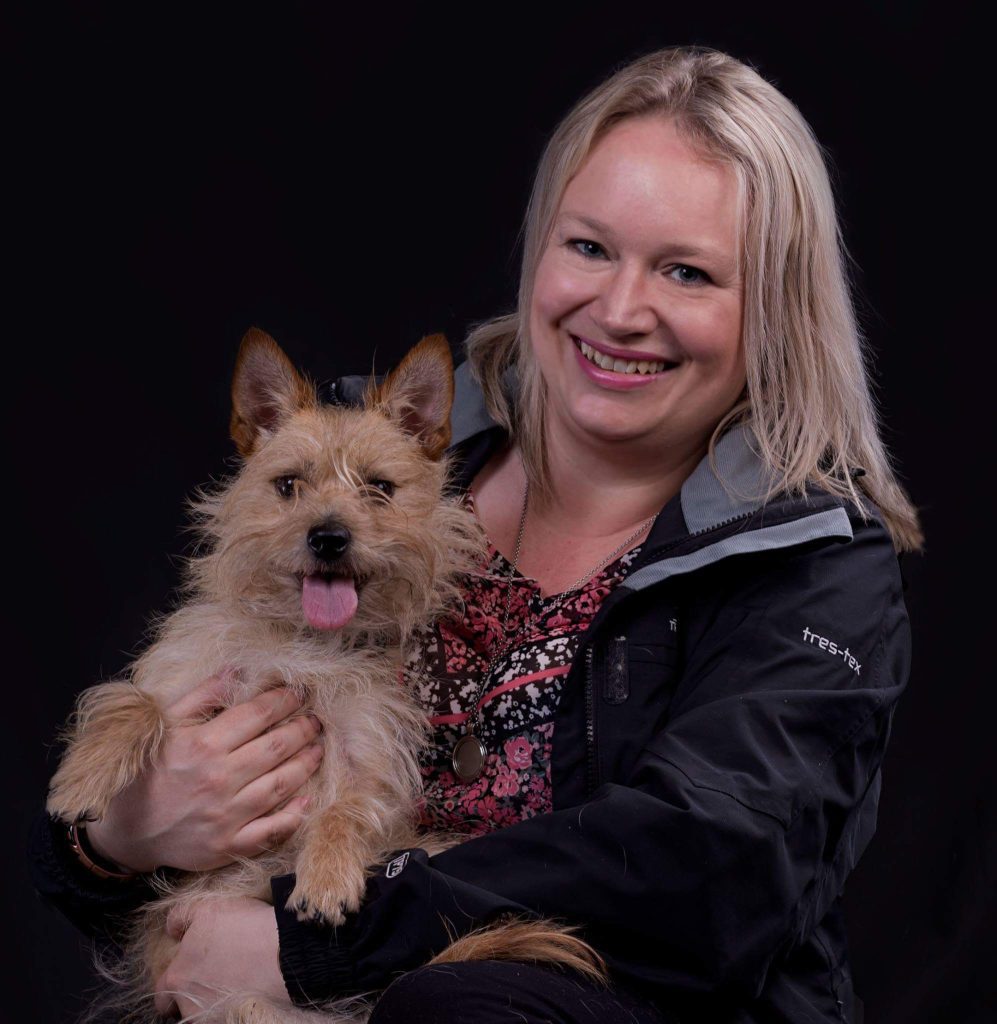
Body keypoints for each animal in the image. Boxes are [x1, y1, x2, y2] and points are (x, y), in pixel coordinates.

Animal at [48, 331, 610, 1019]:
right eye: (288, 484)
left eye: (379, 488)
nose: (328, 537)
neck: (302, 638)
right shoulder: (183, 679)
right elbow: (133, 702)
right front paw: (83, 778)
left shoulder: (367, 748)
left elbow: (348, 807)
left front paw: (326, 877)